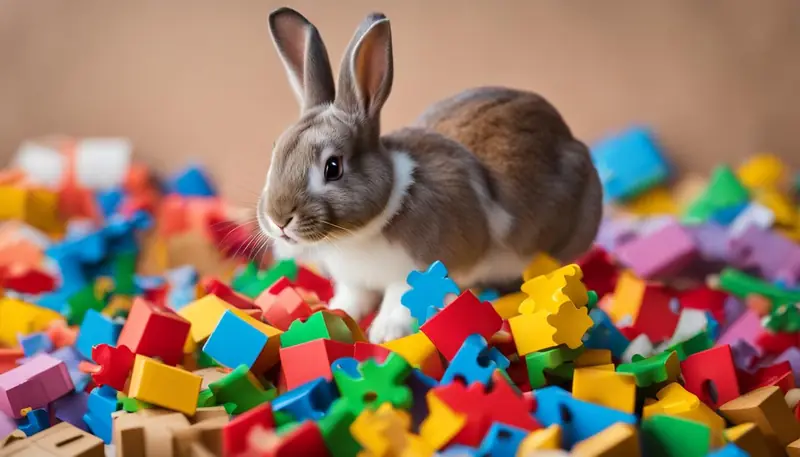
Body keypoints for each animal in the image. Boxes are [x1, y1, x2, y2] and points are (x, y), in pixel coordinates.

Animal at [257, 7, 603, 343]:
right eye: (275, 152)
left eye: (333, 167)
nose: (279, 219)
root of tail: (571, 139)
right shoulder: (355, 283)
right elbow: (351, 301)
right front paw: (325, 317)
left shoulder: (416, 272)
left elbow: (399, 301)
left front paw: (385, 334)